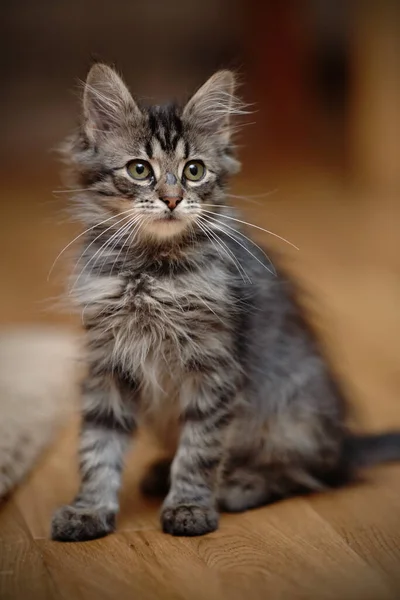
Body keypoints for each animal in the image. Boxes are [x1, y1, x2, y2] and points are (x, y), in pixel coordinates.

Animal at [51, 65, 400, 544]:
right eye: (139, 169)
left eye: (194, 170)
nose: (173, 198)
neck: (151, 271)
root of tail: (344, 443)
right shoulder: (109, 364)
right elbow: (97, 445)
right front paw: (89, 509)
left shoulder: (214, 368)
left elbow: (200, 450)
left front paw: (190, 506)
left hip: (290, 409)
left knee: (312, 473)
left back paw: (240, 484)